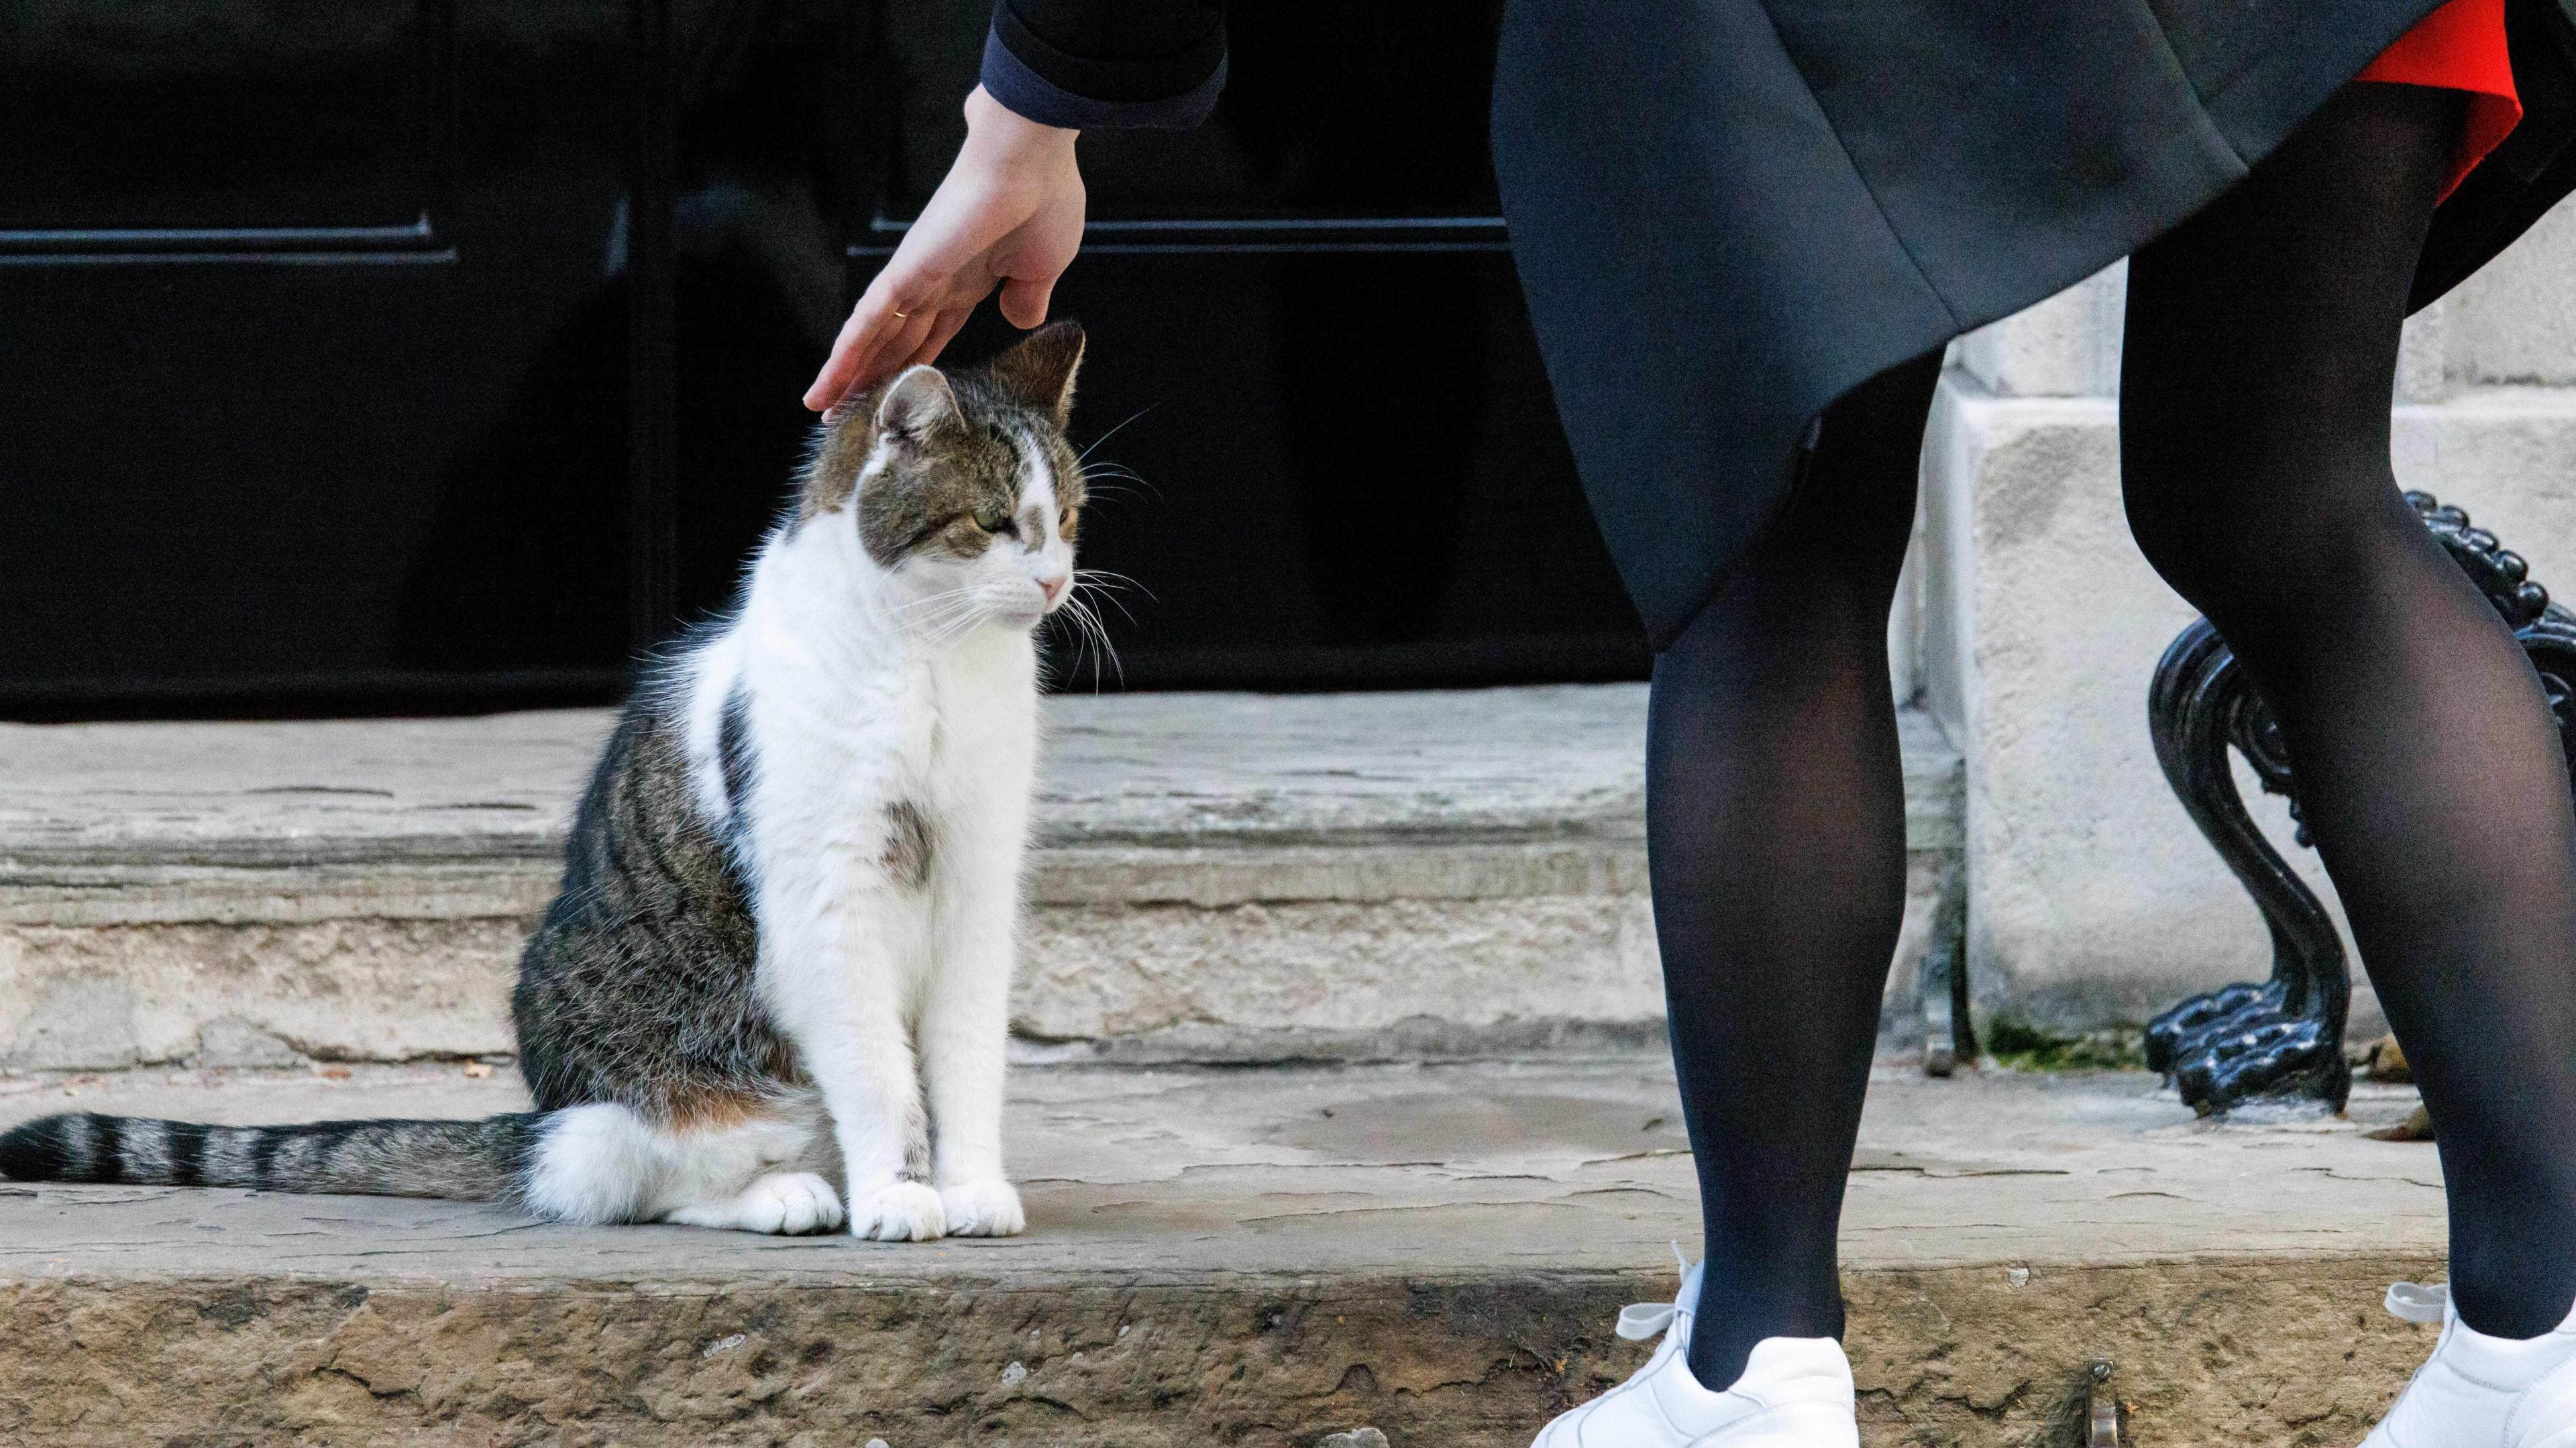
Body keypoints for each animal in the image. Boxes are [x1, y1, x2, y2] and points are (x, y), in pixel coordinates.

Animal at [0, 321, 1092, 1236]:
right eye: (994, 522)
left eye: (1068, 519)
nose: (1055, 581)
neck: (937, 664)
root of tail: (534, 1118)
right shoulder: (832, 902)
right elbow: (877, 1075)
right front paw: (901, 1196)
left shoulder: (977, 891)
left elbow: (964, 1061)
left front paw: (970, 1187)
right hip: (666, 1076)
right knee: (626, 1173)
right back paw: (787, 1193)